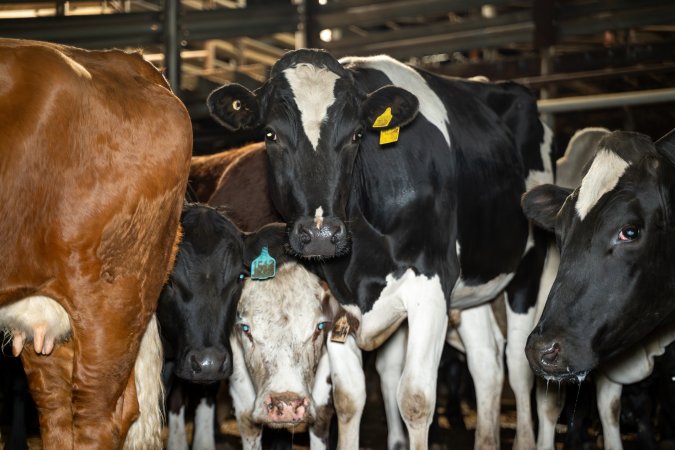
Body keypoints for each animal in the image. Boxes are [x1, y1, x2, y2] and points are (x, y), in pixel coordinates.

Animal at [207, 50, 556, 450]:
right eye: (270, 134)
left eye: (357, 135)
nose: (321, 234)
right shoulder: (337, 302)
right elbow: (348, 399)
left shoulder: (432, 285)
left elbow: (416, 400)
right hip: (471, 286)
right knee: (486, 362)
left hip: (528, 267)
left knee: (517, 364)